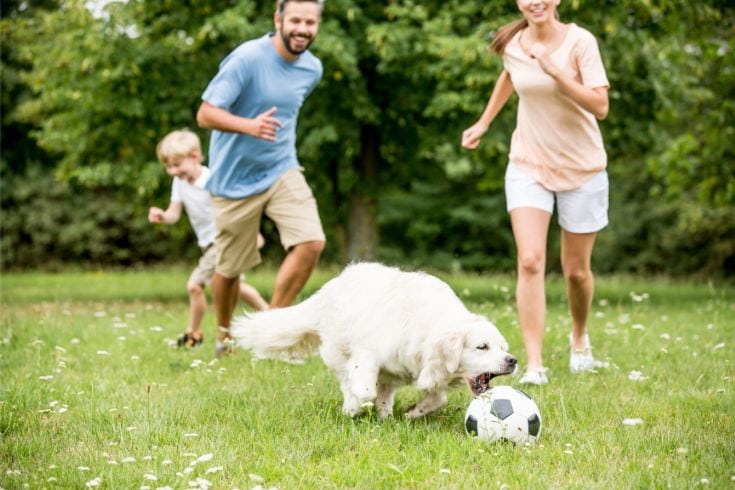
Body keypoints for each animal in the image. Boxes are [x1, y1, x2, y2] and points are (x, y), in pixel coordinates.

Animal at [231, 262, 516, 420]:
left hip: (390, 372)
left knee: (384, 392)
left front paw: (414, 413)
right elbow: (365, 389)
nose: (512, 360)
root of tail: (331, 286)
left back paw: (386, 416)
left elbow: (437, 398)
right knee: (348, 379)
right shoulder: (367, 354)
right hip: (340, 351)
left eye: (503, 348)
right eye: (482, 346)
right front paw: (355, 407)